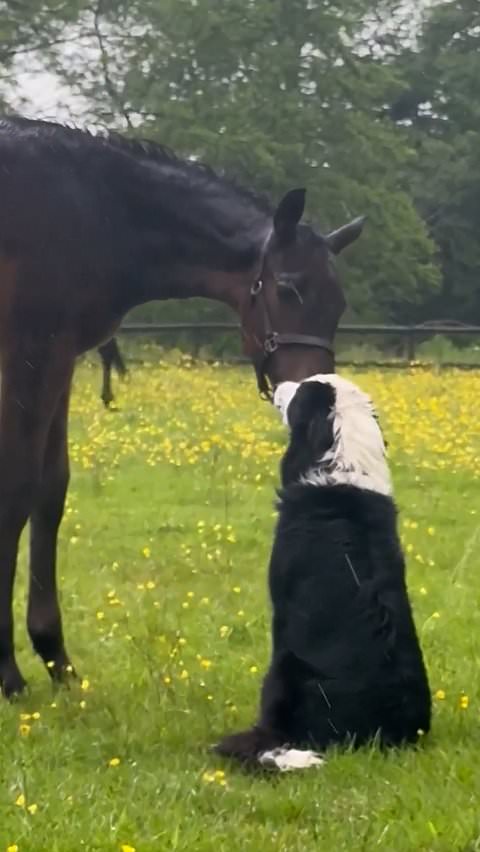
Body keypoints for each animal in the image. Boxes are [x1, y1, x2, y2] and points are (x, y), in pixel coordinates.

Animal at [0, 115, 364, 697]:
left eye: (339, 303)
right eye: (288, 288)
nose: (313, 401)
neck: (90, 210)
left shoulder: (61, 358)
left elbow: (50, 492)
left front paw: (56, 658)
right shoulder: (30, 353)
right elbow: (15, 490)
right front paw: (9, 674)